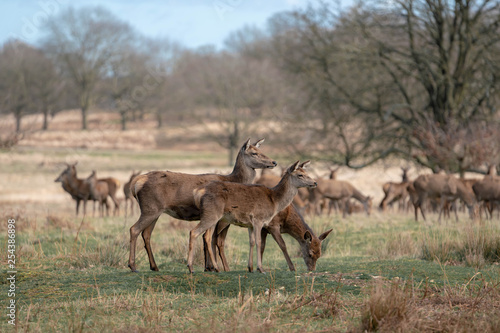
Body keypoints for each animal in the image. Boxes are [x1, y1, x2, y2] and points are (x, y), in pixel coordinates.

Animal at [127, 139, 278, 272]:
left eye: (261, 150)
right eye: (254, 153)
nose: (274, 162)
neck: (234, 180)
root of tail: (136, 183)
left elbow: (208, 240)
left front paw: (208, 267)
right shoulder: (221, 218)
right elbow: (214, 240)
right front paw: (217, 267)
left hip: (156, 211)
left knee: (146, 234)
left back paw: (154, 266)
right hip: (150, 208)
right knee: (134, 229)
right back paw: (133, 266)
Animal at [189, 160, 318, 272]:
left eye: (306, 172)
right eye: (300, 174)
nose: (315, 182)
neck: (274, 201)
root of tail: (199, 192)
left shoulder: (250, 224)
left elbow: (251, 241)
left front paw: (250, 268)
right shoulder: (259, 219)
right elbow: (259, 242)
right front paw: (260, 268)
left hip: (214, 217)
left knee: (207, 237)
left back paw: (216, 268)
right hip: (211, 215)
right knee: (194, 232)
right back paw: (191, 268)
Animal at [203, 202, 332, 272]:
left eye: (319, 254)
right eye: (310, 254)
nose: (312, 269)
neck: (286, 219)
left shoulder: (264, 229)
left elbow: (262, 247)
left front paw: (258, 267)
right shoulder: (273, 225)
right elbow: (282, 245)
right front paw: (292, 268)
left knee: (214, 239)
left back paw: (213, 267)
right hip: (222, 221)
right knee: (215, 239)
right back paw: (220, 267)